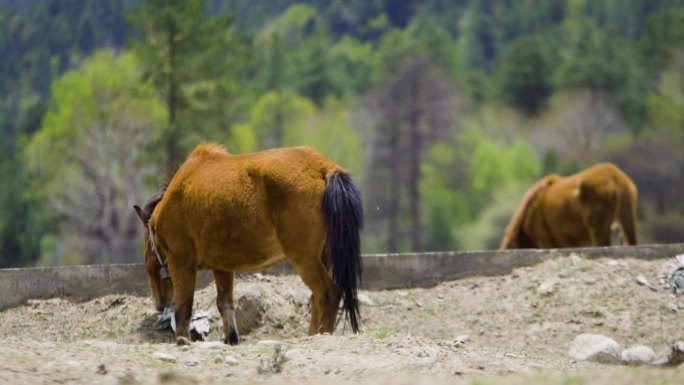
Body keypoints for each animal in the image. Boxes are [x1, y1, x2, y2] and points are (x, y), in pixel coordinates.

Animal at [133, 142, 364, 344]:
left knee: (327, 293)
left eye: (147, 244)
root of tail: (324, 168)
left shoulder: (180, 261)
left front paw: (181, 340)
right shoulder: (222, 267)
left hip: (304, 256)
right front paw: (231, 338)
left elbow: (183, 309)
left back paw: (320, 335)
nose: (159, 304)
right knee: (317, 298)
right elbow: (224, 303)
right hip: (324, 256)